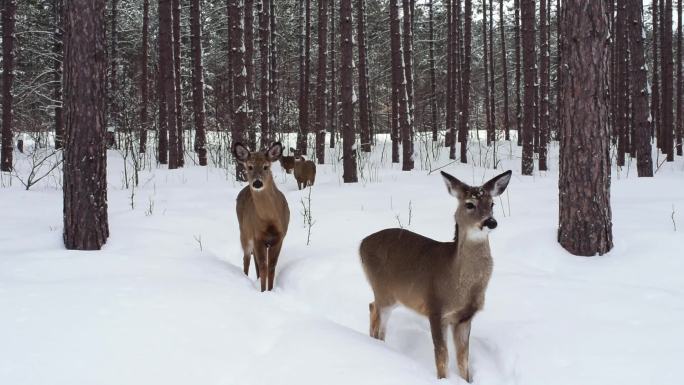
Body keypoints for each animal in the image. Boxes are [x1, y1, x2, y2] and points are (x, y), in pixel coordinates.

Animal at [234, 142, 290, 292]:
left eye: (266, 166)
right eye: (249, 166)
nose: (257, 183)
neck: (269, 220)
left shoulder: (279, 238)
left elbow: (271, 267)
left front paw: (270, 290)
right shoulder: (258, 237)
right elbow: (264, 266)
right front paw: (263, 291)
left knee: (255, 262)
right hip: (244, 233)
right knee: (246, 258)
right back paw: (245, 277)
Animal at [358, 170, 512, 380]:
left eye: (492, 204)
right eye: (469, 204)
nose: (491, 222)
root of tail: (361, 244)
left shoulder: (464, 317)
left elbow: (463, 359)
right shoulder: (435, 308)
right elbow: (442, 356)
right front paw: (443, 379)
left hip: (395, 296)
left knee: (373, 308)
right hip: (383, 289)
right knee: (376, 314)